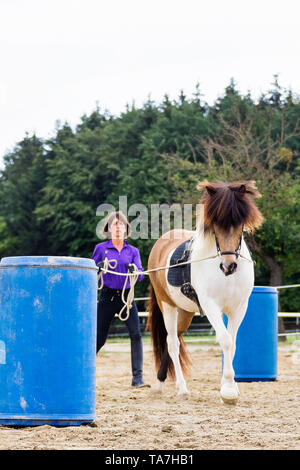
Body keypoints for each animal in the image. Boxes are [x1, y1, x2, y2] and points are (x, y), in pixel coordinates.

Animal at [147, 180, 262, 404]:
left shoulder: (239, 308)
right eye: (215, 225)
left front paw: (229, 387)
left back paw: (161, 382)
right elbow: (225, 340)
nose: (228, 266)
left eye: (239, 224)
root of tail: (161, 242)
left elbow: (233, 344)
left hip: (185, 312)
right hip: (168, 306)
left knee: (173, 341)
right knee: (172, 343)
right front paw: (228, 392)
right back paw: (182, 389)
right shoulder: (211, 306)